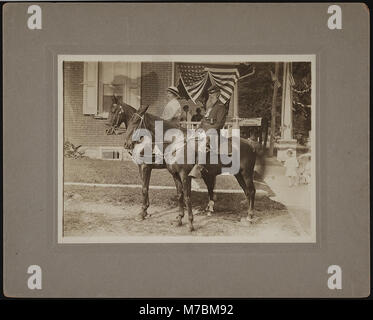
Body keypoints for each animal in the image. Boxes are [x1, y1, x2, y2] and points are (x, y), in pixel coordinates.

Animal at [120, 102, 264, 230]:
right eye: (129, 120)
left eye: (135, 122)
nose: (126, 143)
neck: (176, 144)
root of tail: (251, 143)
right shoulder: (175, 175)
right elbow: (179, 195)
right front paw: (179, 219)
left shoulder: (184, 175)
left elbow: (187, 197)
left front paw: (190, 223)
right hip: (238, 174)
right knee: (247, 192)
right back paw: (246, 216)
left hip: (246, 173)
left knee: (252, 191)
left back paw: (250, 217)